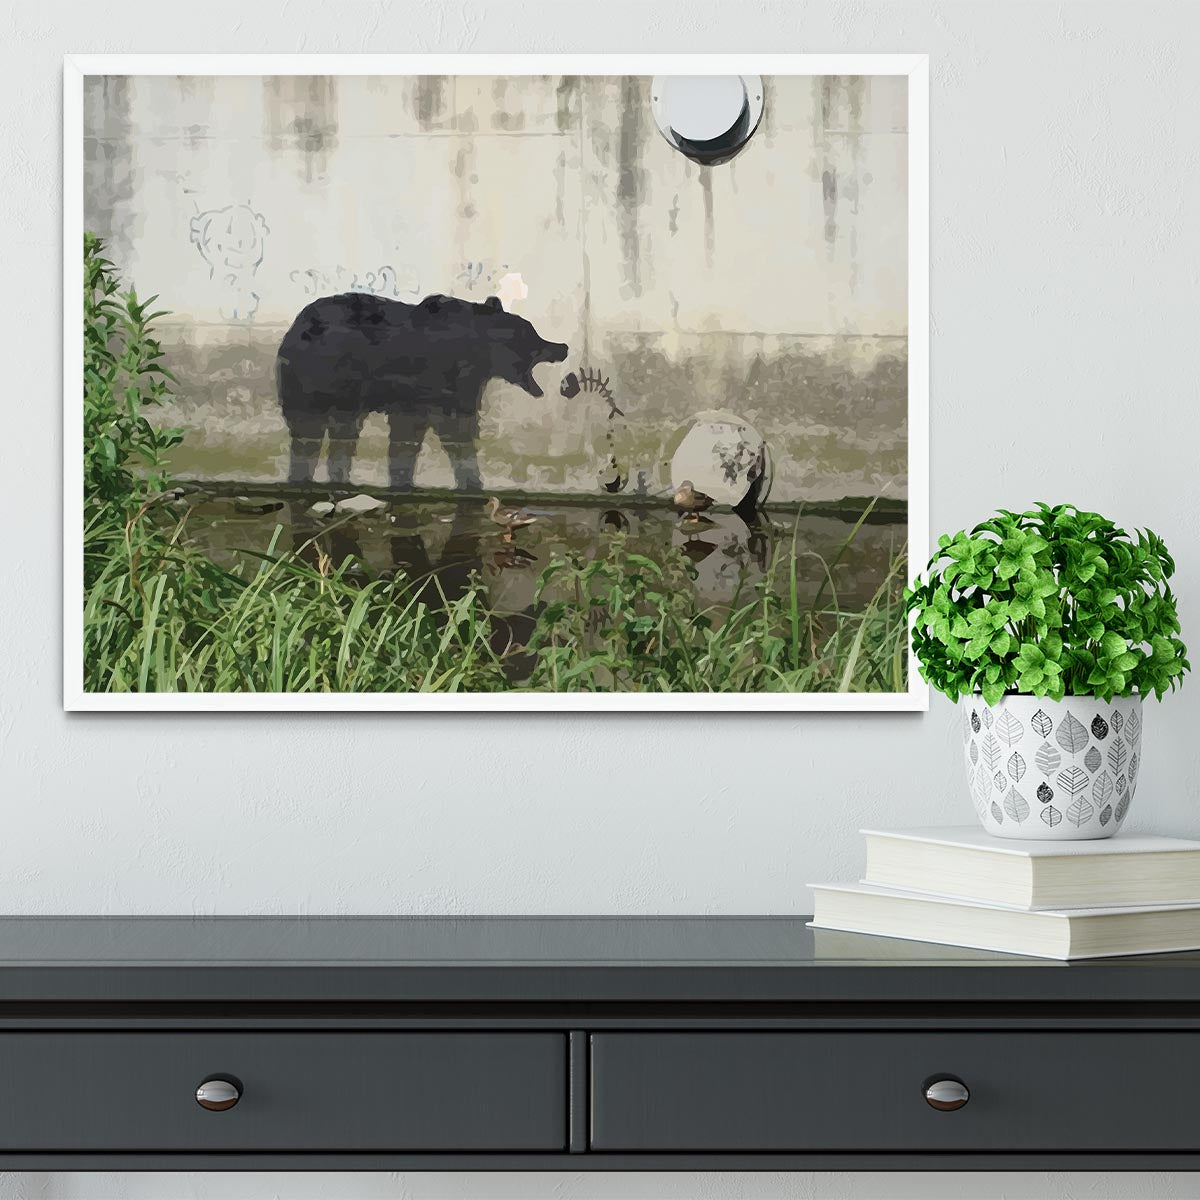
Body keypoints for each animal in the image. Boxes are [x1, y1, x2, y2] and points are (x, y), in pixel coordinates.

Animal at [275, 291, 569, 491]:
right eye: (534, 334)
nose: (563, 347)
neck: (479, 354)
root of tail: (292, 330)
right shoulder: (429, 384)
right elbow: (444, 431)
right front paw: (470, 480)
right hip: (316, 380)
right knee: (308, 432)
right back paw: (303, 476)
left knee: (342, 434)